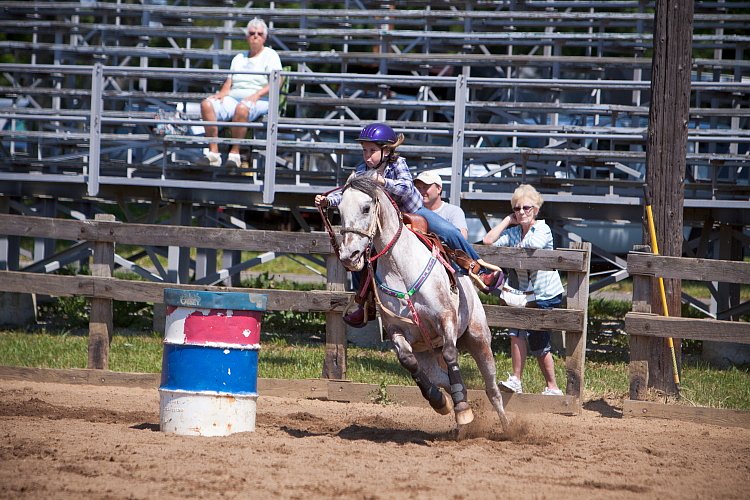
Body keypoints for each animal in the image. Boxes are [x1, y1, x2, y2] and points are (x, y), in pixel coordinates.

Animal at [340, 174, 512, 432]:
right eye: (338, 211)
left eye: (366, 208)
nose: (348, 256)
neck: (400, 268)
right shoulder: (397, 329)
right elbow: (408, 361)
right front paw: (440, 402)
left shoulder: (446, 318)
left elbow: (451, 354)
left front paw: (462, 409)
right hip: (429, 355)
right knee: (444, 378)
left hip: (478, 338)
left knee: (491, 388)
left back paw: (506, 427)